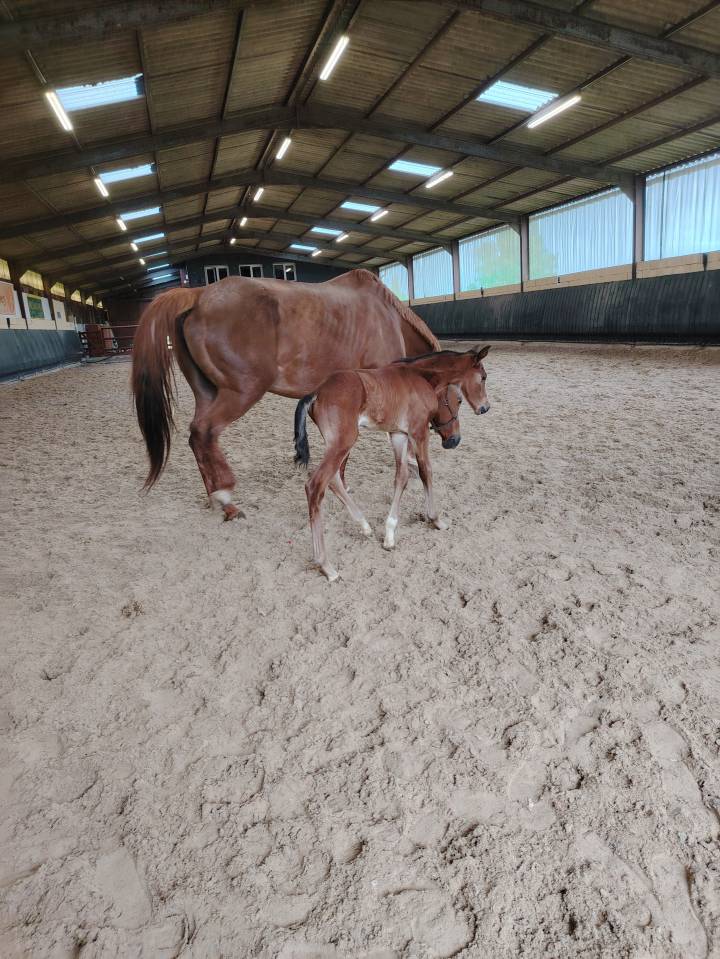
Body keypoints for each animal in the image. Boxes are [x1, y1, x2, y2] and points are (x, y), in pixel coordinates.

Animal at [131, 269, 440, 520]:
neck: (387, 320)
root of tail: (198, 295)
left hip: (207, 393)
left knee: (198, 438)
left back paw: (219, 501)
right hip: (241, 392)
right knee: (203, 432)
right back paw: (225, 495)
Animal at [293, 346, 491, 581]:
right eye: (483, 378)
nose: (485, 408)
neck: (420, 377)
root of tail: (316, 392)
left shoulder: (398, 434)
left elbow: (401, 477)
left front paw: (389, 534)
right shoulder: (419, 432)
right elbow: (426, 471)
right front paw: (436, 519)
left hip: (337, 444)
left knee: (333, 480)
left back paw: (364, 525)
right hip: (344, 441)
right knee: (315, 486)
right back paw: (326, 565)